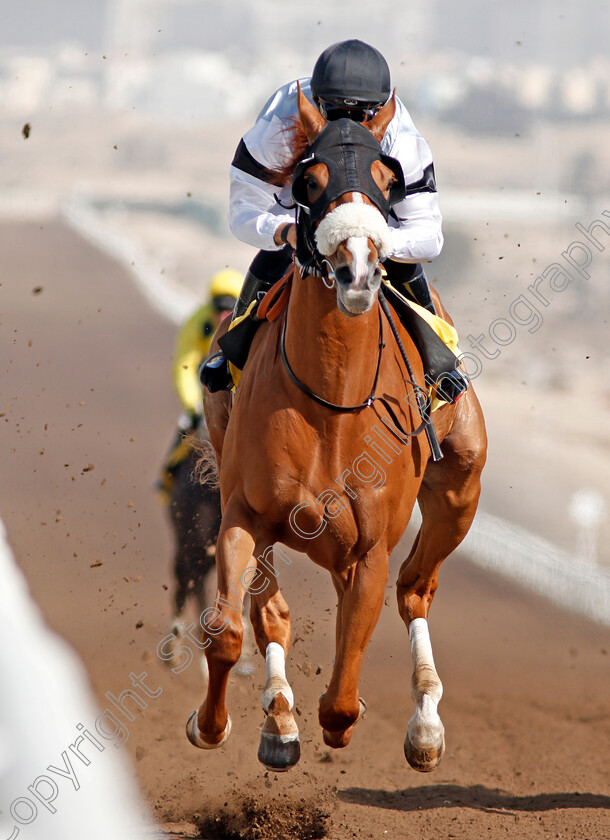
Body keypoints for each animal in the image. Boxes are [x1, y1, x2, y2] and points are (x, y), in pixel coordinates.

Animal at [188, 88, 486, 772]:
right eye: (311, 180)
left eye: (387, 179)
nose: (356, 271)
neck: (333, 406)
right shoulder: (244, 513)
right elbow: (229, 630)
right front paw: (217, 725)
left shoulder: (370, 548)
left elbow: (345, 693)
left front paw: (352, 719)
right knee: (270, 611)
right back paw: (278, 720)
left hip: (460, 487)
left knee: (415, 589)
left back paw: (425, 726)